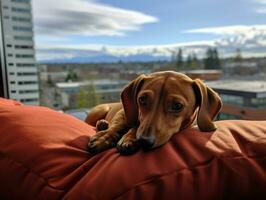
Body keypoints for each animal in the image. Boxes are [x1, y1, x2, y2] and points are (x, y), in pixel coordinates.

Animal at [85, 71, 222, 155]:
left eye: (177, 106)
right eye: (142, 99)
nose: (144, 141)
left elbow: (136, 127)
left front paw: (130, 137)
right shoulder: (122, 114)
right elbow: (117, 126)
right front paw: (104, 137)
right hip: (100, 110)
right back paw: (102, 124)